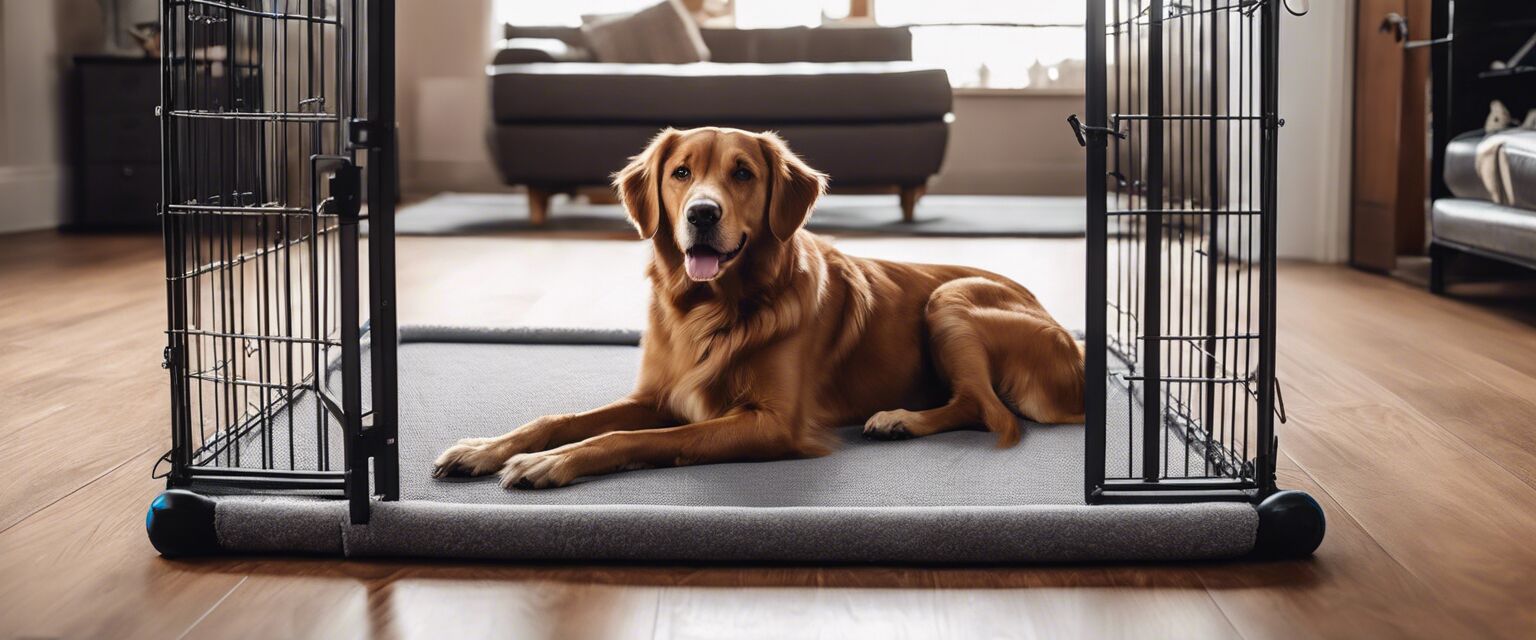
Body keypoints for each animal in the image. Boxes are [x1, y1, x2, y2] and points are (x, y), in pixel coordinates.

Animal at [433, 127, 1081, 484]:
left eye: (742, 174)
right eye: (680, 173)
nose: (702, 214)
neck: (710, 310)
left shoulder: (774, 423)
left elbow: (626, 439)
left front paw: (548, 464)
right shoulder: (657, 395)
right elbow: (560, 419)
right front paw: (486, 450)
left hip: (950, 299)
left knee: (983, 408)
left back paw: (899, 419)